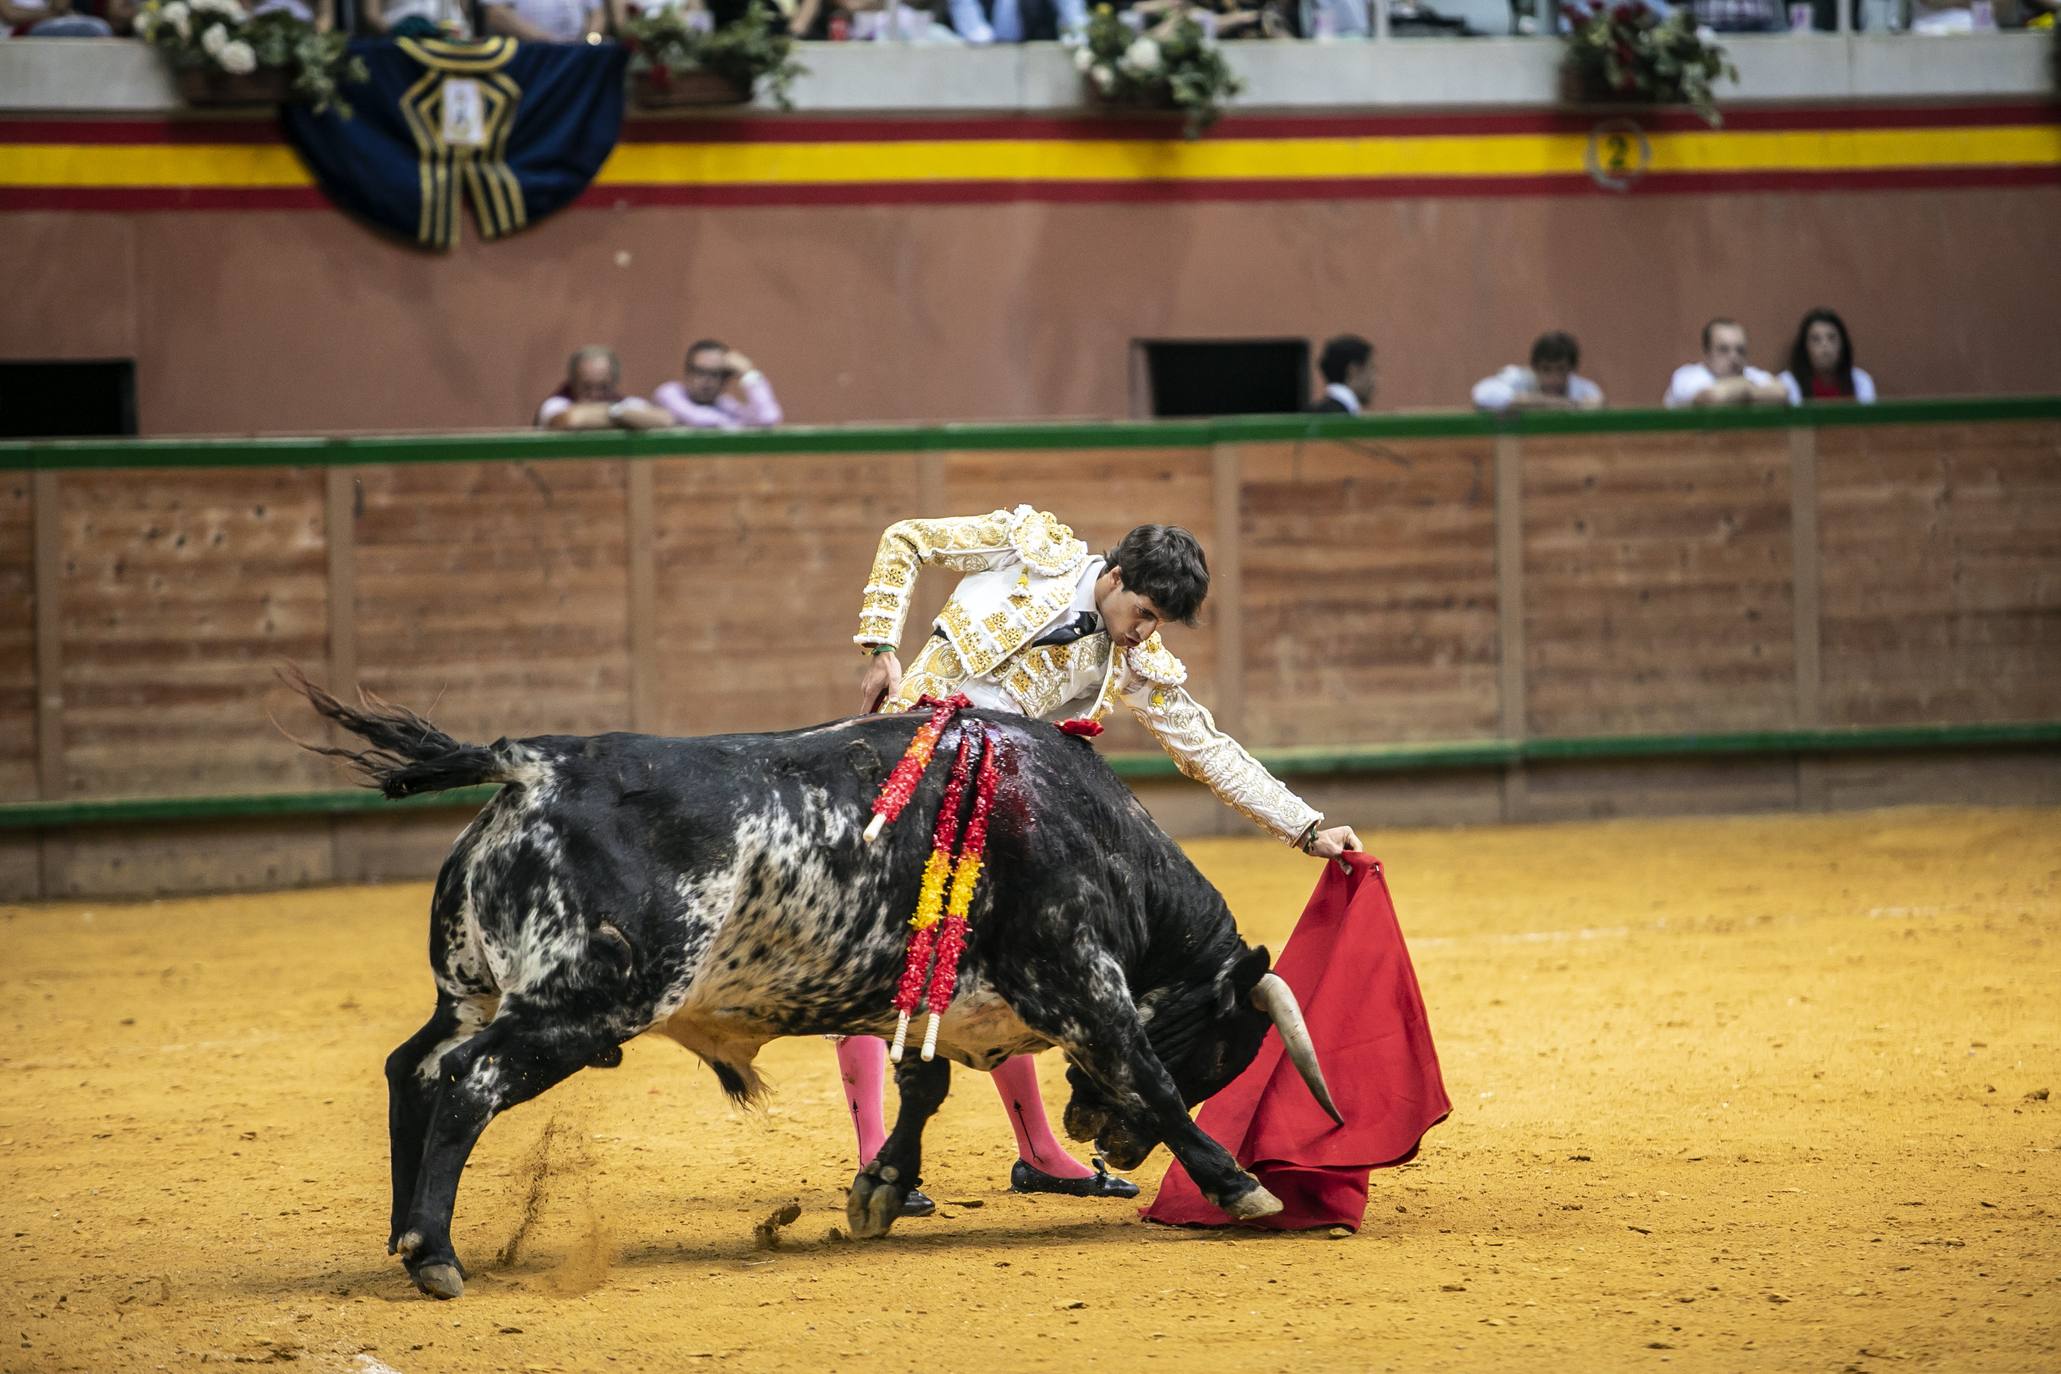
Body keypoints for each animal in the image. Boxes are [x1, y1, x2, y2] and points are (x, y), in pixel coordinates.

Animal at [298, 675, 1343, 1301]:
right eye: (1220, 1047)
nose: (1105, 1142)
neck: (1085, 830)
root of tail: (538, 766)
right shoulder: (1083, 982)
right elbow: (1146, 1076)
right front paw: (1241, 1186)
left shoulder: (937, 1004)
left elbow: (923, 1086)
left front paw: (881, 1189)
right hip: (577, 1008)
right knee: (467, 1082)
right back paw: (436, 1257)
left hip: (471, 990)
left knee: (410, 1070)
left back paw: (403, 1236)